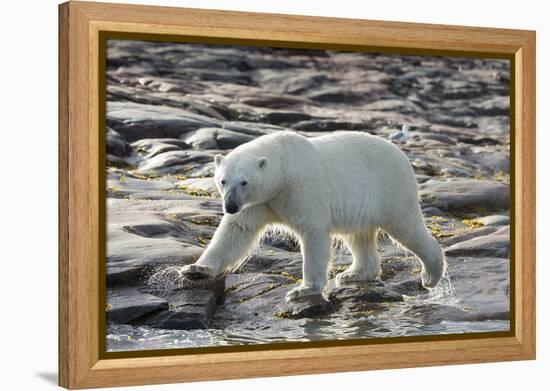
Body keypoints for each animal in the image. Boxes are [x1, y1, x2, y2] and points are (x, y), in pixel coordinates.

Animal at [181, 132, 448, 304]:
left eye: (244, 182)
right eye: (223, 180)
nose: (230, 206)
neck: (283, 166)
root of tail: (403, 157)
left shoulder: (301, 188)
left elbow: (313, 233)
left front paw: (303, 290)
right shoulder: (260, 202)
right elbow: (235, 232)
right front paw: (196, 269)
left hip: (389, 188)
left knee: (406, 226)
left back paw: (430, 275)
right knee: (358, 236)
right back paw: (353, 274)